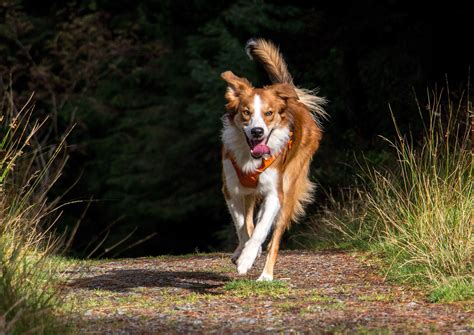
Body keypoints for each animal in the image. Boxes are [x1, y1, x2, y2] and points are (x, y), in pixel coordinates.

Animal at [221, 38, 326, 282]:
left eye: (268, 113)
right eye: (246, 112)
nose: (257, 132)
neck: (252, 160)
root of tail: (295, 101)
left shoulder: (274, 193)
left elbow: (260, 230)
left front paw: (248, 258)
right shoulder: (231, 189)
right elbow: (242, 225)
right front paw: (244, 253)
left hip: (289, 190)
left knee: (274, 237)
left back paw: (266, 275)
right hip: (250, 193)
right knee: (250, 219)